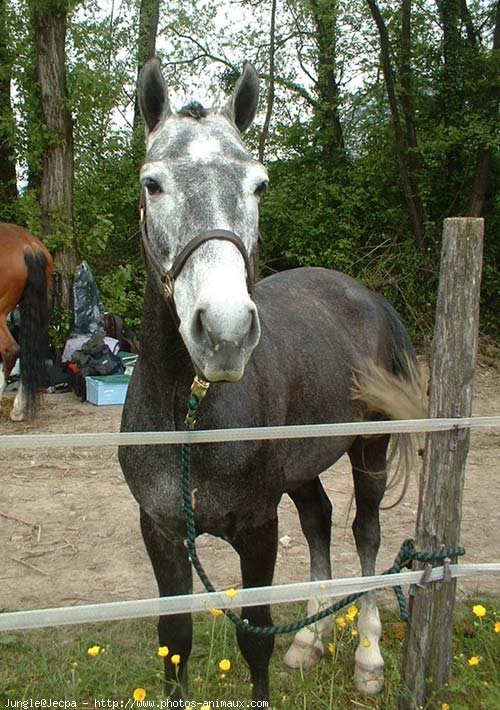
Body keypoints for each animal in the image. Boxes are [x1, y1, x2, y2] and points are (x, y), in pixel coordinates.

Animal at [118, 58, 426, 704]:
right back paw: (310, 640)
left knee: (366, 532)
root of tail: (369, 298)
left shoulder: (259, 530)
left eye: (259, 184)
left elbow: (254, 638)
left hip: (370, 449)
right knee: (320, 521)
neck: (190, 417)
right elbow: (174, 641)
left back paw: (368, 657)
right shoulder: (161, 532)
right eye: (152, 183)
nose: (226, 332)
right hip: (302, 467)